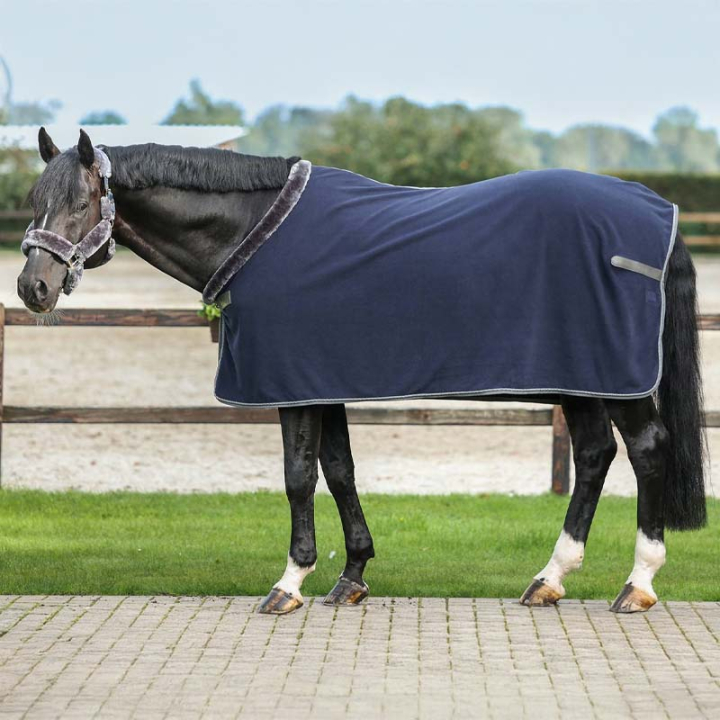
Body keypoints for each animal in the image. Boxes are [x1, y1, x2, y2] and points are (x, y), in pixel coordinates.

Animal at [17, 128, 706, 615]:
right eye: (34, 200)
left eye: (82, 201)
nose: (33, 287)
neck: (255, 232)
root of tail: (658, 210)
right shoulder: (321, 382)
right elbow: (340, 471)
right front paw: (350, 578)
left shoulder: (293, 388)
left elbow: (298, 477)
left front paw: (289, 583)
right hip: (584, 380)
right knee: (593, 456)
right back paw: (549, 579)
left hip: (616, 381)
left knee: (647, 449)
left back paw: (638, 583)